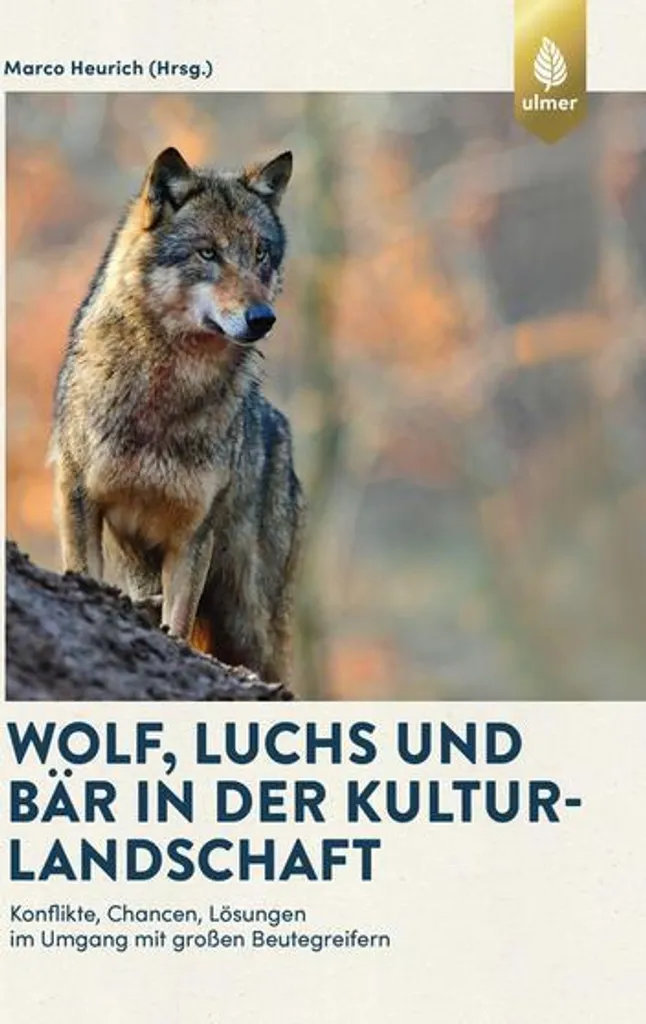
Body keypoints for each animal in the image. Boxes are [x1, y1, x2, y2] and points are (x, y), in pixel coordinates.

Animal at [50, 146, 305, 684]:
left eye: (260, 254)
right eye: (208, 253)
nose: (263, 318)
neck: (162, 395)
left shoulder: (192, 535)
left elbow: (179, 625)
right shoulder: (79, 497)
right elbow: (83, 573)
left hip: (250, 618)